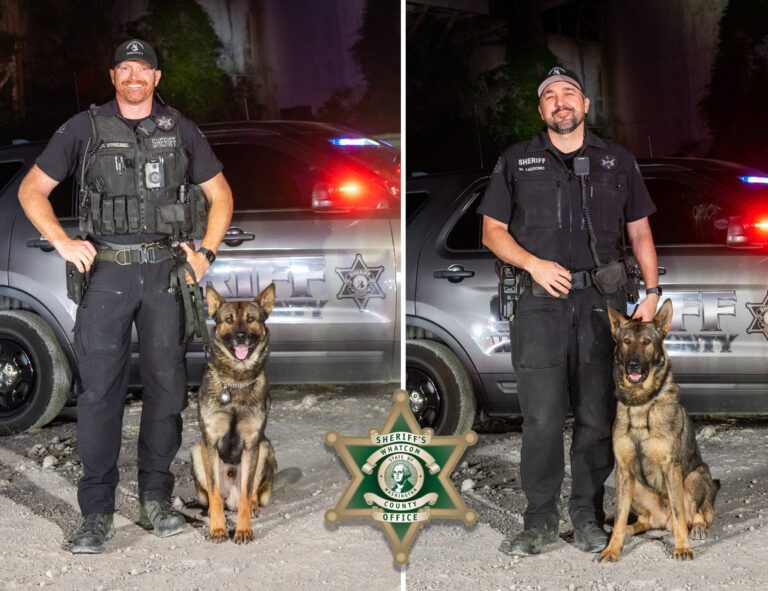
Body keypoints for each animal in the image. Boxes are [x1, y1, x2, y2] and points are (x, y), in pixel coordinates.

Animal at [192, 284, 280, 544]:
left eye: (251, 319)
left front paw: (243, 529)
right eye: (229, 320)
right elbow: (214, 494)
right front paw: (218, 528)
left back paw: (252, 506)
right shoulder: (209, 442)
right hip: (196, 451)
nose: (241, 336)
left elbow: (246, 493)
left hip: (264, 448)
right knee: (216, 497)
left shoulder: (252, 444)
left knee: (249, 495)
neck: (236, 380)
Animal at [600, 300, 720, 564]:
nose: (633, 364)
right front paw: (612, 548)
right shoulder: (623, 470)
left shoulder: (670, 467)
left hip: (695, 475)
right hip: (634, 487)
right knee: (640, 521)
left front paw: (682, 547)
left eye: (646, 342)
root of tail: (662, 522)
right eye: (626, 341)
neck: (641, 403)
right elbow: (620, 516)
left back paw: (696, 528)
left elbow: (679, 512)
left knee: (698, 513)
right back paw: (629, 529)